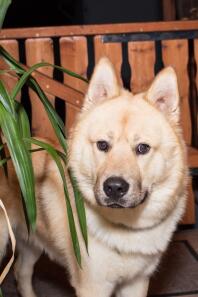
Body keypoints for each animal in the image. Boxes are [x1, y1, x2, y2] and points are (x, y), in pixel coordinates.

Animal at [0, 57, 187, 296]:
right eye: (102, 145)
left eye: (143, 148)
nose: (114, 187)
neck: (125, 226)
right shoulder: (93, 286)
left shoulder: (136, 283)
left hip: (32, 240)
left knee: (21, 271)